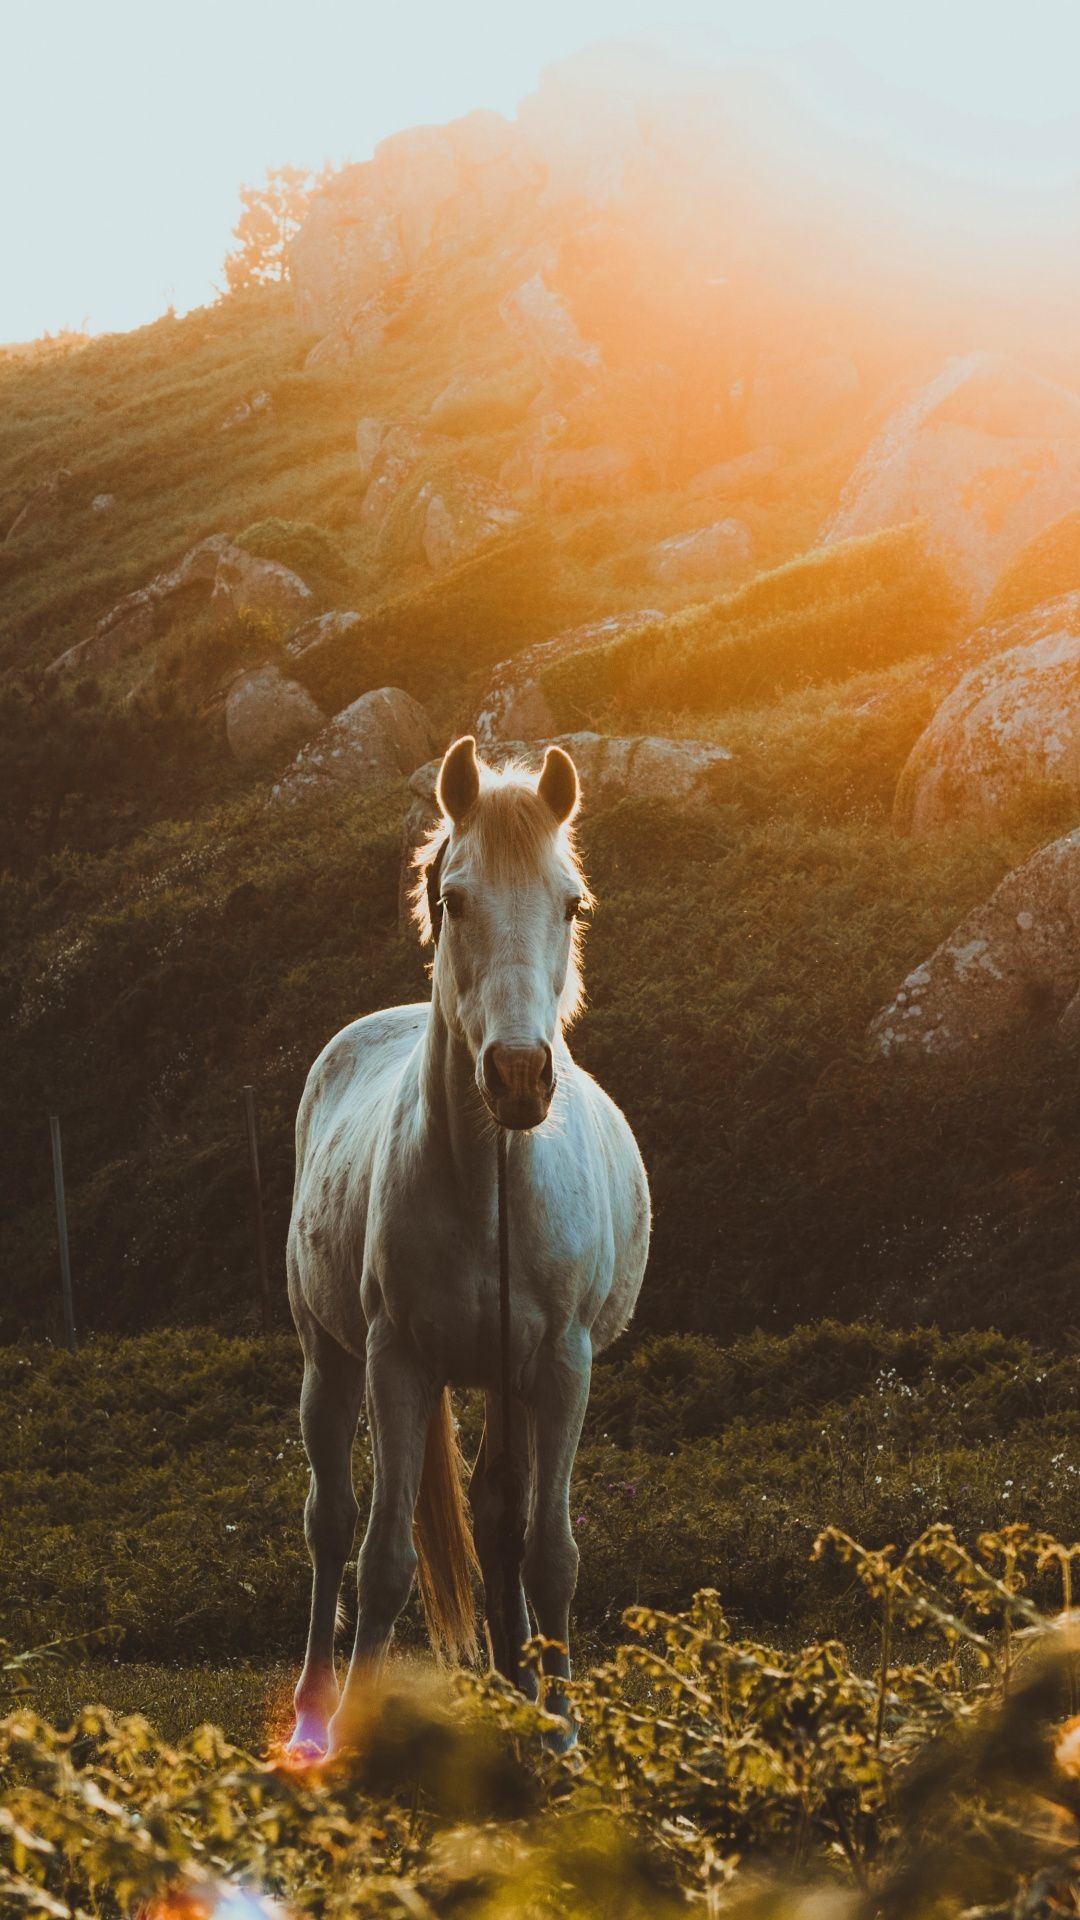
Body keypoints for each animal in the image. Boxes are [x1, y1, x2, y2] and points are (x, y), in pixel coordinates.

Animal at [282, 733, 645, 1758]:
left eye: (572, 903)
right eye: (454, 899)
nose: (519, 1076)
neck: (491, 1186)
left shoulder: (560, 1367)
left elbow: (548, 1552)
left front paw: (560, 1733)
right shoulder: (397, 1361)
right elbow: (383, 1558)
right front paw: (356, 1738)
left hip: (505, 1382)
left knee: (497, 1524)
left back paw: (518, 1696)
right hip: (329, 1362)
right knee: (331, 1524)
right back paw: (314, 1713)